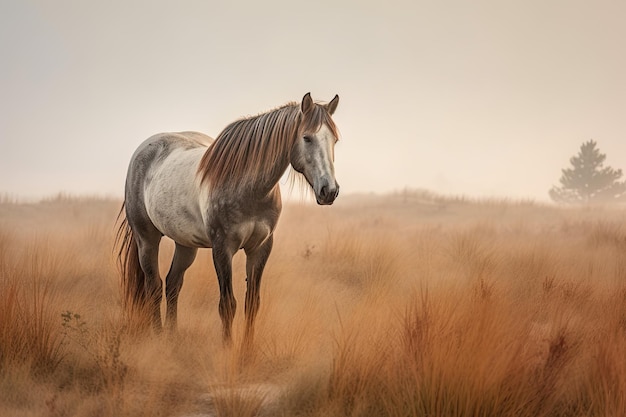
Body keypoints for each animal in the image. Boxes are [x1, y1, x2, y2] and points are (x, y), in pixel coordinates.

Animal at [116, 92, 342, 346]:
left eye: (334, 140)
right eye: (307, 138)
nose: (329, 191)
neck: (250, 190)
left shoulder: (260, 247)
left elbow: (252, 303)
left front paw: (247, 350)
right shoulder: (222, 248)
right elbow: (227, 304)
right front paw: (228, 349)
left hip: (185, 244)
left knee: (173, 284)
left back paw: (173, 337)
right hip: (147, 239)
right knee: (154, 285)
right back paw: (158, 338)